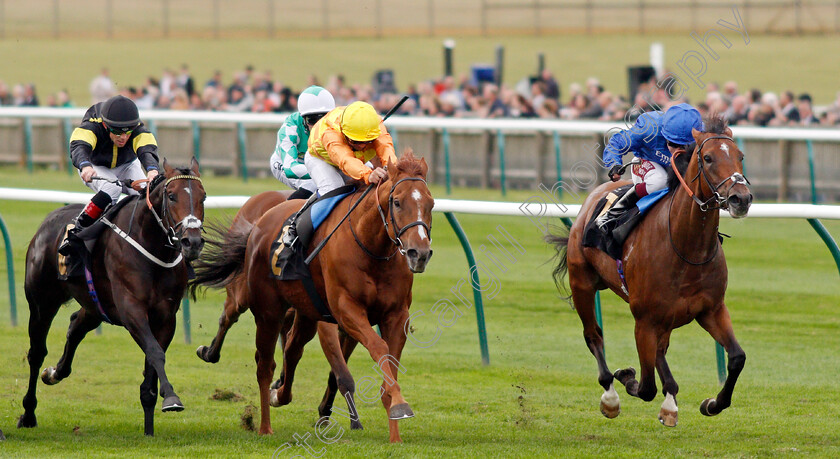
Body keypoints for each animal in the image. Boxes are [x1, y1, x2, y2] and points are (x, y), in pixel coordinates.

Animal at [18, 159, 206, 438]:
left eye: (204, 197)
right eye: (172, 196)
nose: (192, 242)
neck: (150, 244)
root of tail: (48, 221)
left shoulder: (165, 317)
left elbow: (153, 361)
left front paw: (149, 426)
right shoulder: (131, 310)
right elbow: (154, 352)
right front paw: (171, 398)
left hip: (95, 305)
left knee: (75, 326)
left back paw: (54, 372)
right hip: (42, 302)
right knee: (36, 352)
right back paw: (28, 414)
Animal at [194, 190, 364, 432]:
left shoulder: (352, 326)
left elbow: (335, 372)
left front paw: (328, 412)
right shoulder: (326, 322)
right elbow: (340, 371)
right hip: (244, 291)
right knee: (228, 315)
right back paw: (209, 352)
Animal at [548, 116, 752, 428]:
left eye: (740, 156)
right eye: (707, 158)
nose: (741, 198)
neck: (686, 249)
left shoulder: (711, 309)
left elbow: (737, 357)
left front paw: (712, 403)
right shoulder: (643, 319)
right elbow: (645, 387)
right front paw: (626, 376)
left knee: (659, 350)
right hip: (581, 282)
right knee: (594, 335)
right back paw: (610, 395)